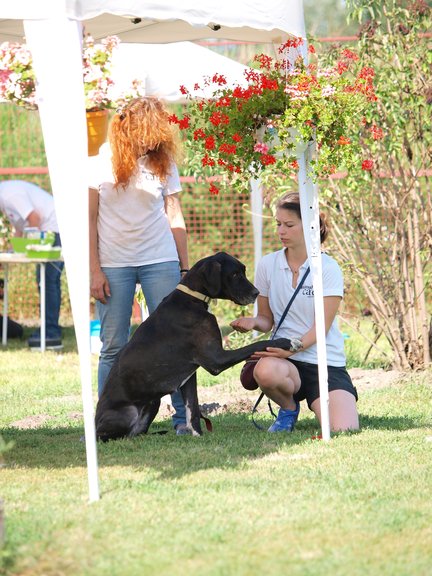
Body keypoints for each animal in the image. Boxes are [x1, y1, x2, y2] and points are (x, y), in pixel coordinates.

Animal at [95, 252, 294, 441]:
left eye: (243, 271)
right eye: (235, 274)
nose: (256, 292)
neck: (192, 298)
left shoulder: (189, 377)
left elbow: (193, 409)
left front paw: (197, 435)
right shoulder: (216, 359)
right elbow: (257, 343)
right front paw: (284, 342)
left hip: (153, 402)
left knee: (138, 432)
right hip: (127, 413)